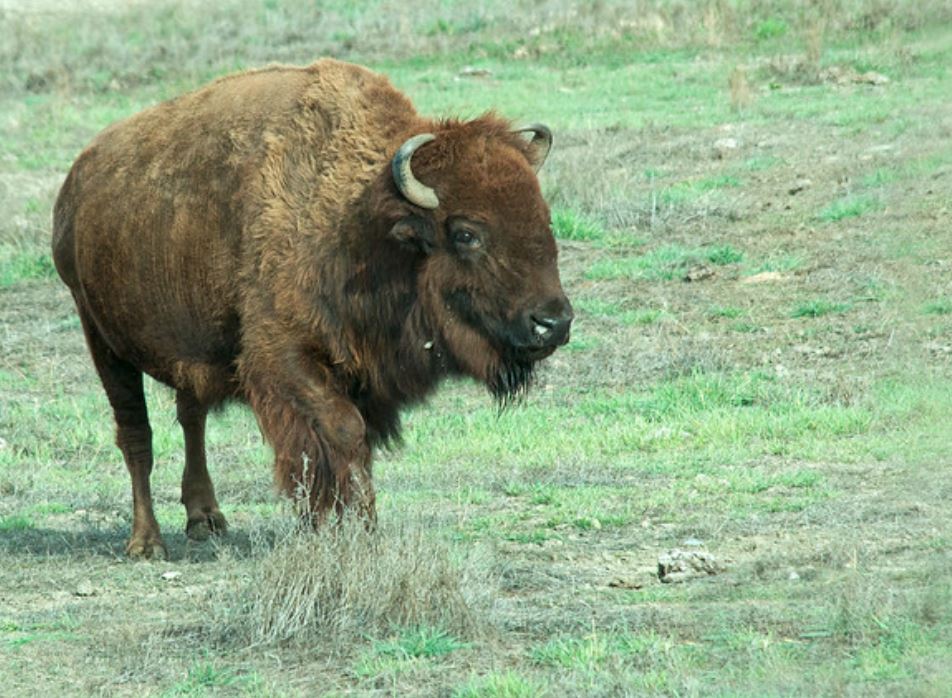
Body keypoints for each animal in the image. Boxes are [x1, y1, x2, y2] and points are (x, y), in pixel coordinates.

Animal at [52, 58, 572, 558]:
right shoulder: (284, 360)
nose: (553, 323)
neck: (360, 219)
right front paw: (359, 529)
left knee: (191, 418)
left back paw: (205, 519)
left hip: (191, 348)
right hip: (103, 341)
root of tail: (75, 184)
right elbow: (342, 435)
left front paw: (337, 526)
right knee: (136, 436)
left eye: (544, 219)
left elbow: (350, 448)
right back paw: (147, 543)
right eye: (466, 233)